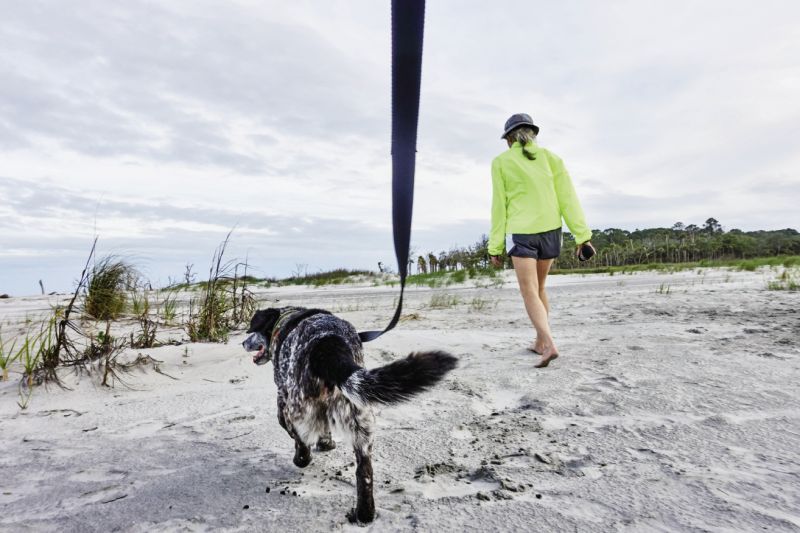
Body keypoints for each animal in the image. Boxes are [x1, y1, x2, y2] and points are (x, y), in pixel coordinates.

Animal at [242, 306, 456, 520]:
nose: (243, 342)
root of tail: (329, 345)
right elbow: (325, 431)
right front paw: (327, 444)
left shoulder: (282, 397)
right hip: (360, 416)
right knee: (364, 472)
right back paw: (364, 514)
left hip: (296, 407)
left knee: (301, 442)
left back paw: (301, 459)